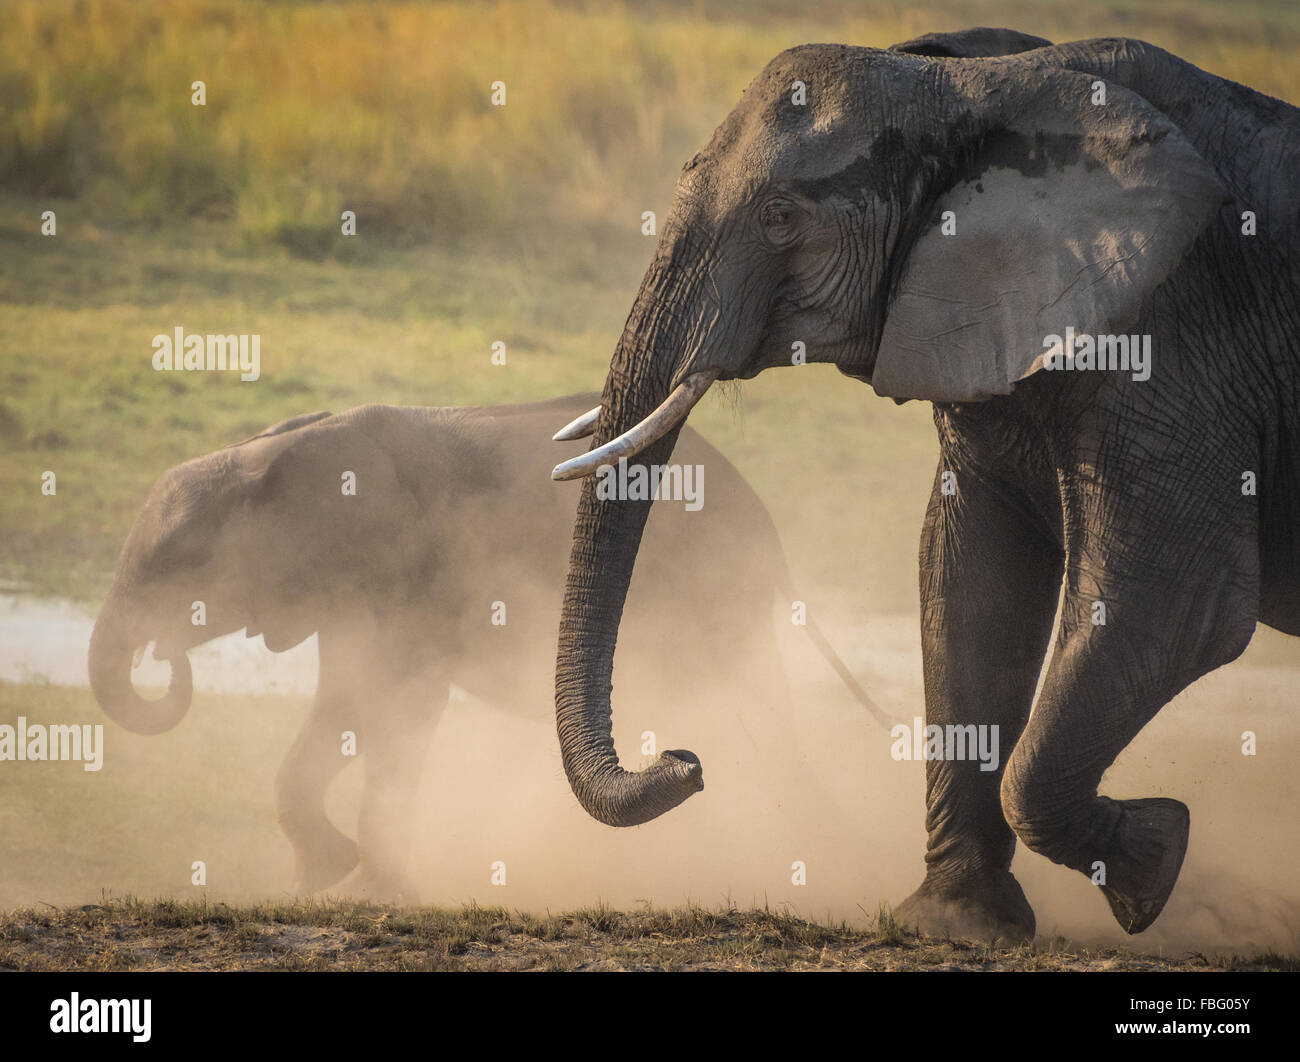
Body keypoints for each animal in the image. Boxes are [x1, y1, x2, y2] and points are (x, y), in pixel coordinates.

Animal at [89, 395, 863, 894]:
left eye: (178, 565)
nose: (162, 654)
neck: (277, 447)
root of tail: (766, 524)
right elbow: (346, 711)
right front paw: (318, 880)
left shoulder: (409, 577)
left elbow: (396, 712)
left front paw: (370, 892)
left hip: (714, 601)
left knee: (760, 723)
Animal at [551, 37, 1300, 941]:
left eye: (779, 218)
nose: (686, 761)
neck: (968, 87)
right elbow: (971, 581)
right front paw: (953, 923)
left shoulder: (1177, 335)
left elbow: (1171, 607)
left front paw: (1153, 863)